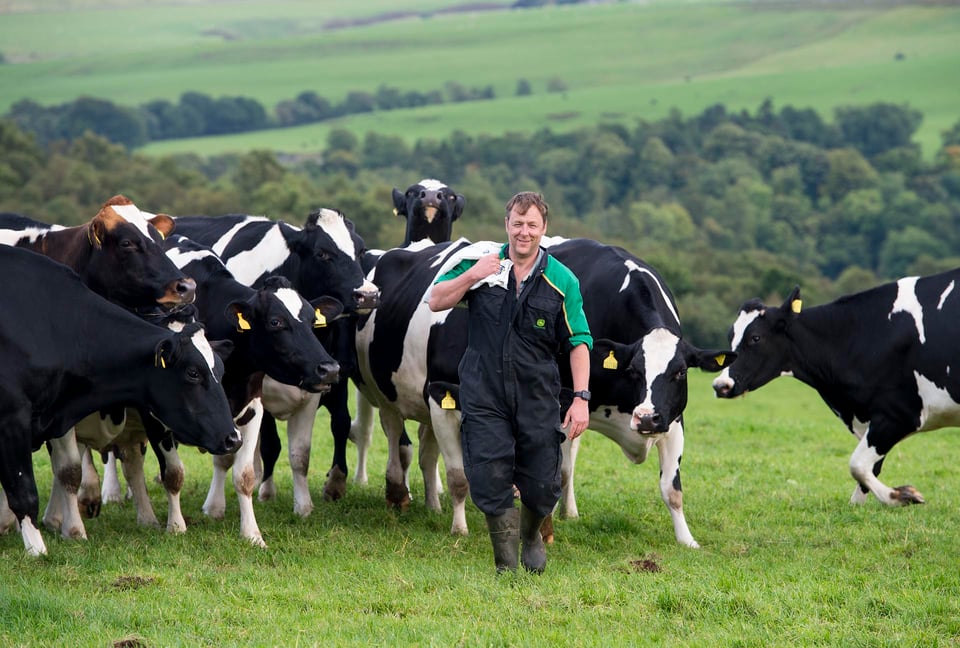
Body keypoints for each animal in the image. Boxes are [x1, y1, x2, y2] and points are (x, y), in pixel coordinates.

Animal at [0, 244, 240, 556]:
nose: (233, 438)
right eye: (193, 372)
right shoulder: (12, 419)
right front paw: (39, 548)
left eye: (220, 371)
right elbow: (29, 490)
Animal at [356, 238, 732, 548]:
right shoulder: (444, 398)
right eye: (634, 371)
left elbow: (672, 489)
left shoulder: (672, 418)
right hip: (387, 394)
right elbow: (462, 475)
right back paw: (399, 496)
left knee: (428, 451)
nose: (647, 418)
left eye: (680, 372)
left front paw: (686, 540)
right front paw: (464, 528)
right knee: (397, 440)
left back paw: (436, 505)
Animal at [708, 278, 960, 506]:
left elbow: (858, 465)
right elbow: (868, 474)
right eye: (731, 337)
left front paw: (902, 495)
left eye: (755, 338)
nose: (721, 385)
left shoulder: (899, 414)